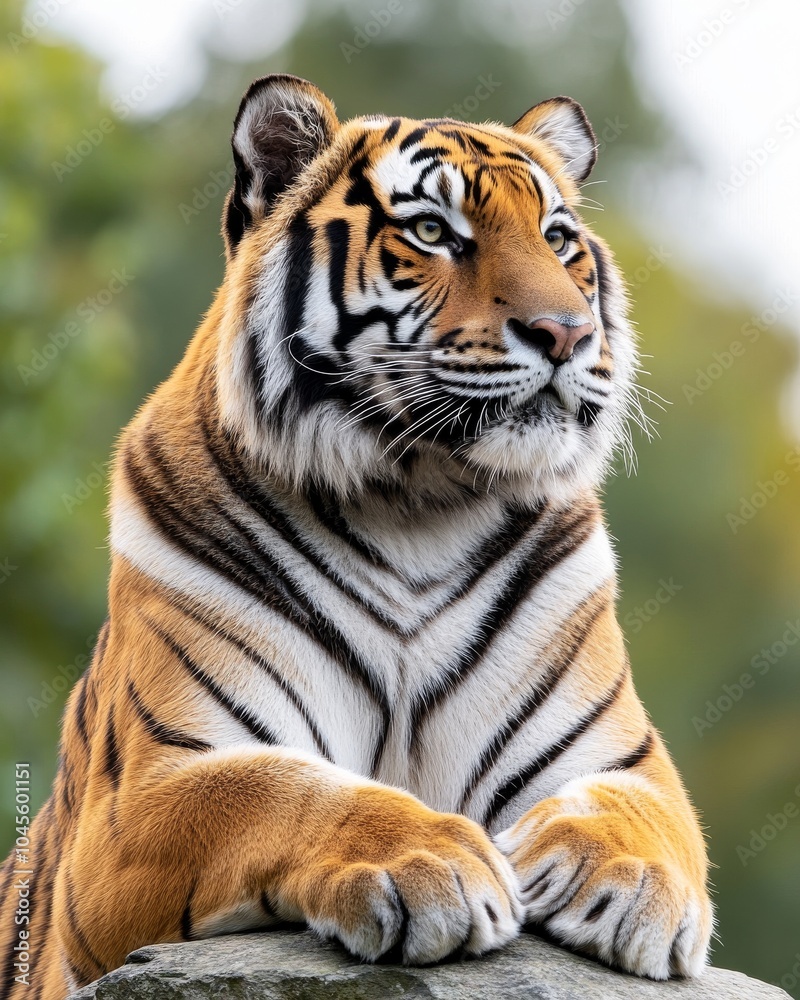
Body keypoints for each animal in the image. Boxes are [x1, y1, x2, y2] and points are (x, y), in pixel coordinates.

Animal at [0, 73, 713, 999]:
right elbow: (282, 790)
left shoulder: (621, 756)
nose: (566, 333)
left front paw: (633, 885)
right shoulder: (146, 792)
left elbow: (634, 809)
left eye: (559, 239)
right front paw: (432, 862)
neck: (419, 503)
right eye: (433, 232)